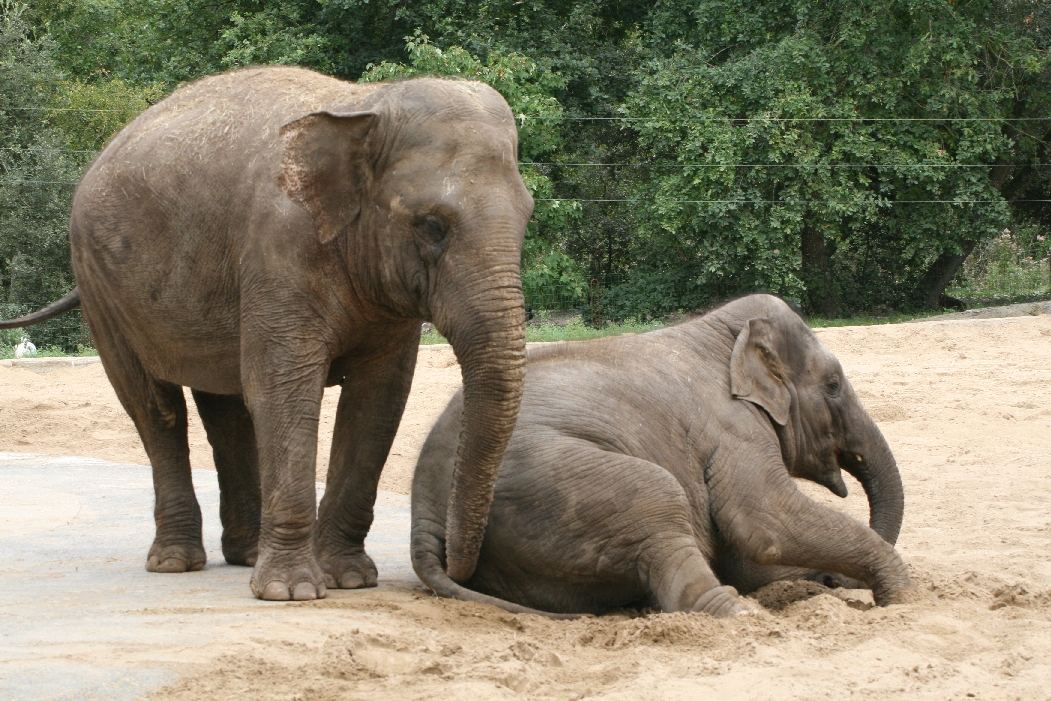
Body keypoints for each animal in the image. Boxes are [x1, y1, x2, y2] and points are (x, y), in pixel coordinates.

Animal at [0, 67, 533, 600]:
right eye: (432, 226)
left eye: (528, 215)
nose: (459, 569)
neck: (363, 107)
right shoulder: (278, 247)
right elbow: (284, 389)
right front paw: (291, 591)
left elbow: (378, 400)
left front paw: (348, 579)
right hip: (100, 285)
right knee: (155, 407)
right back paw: (175, 562)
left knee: (224, 404)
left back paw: (246, 555)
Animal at [410, 294, 917, 617]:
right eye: (832, 385)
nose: (838, 584)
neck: (725, 334)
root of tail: (425, 512)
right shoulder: (734, 428)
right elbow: (763, 523)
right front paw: (904, 596)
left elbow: (746, 552)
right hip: (550, 479)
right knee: (658, 502)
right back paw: (743, 616)